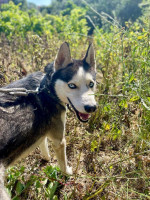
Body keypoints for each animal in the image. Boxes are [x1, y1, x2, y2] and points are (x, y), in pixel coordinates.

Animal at [0, 42, 96, 198]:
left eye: (91, 84)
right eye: (72, 85)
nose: (91, 108)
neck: (47, 88)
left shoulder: (41, 132)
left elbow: (43, 146)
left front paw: (46, 159)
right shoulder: (59, 141)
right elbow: (63, 165)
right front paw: (67, 173)